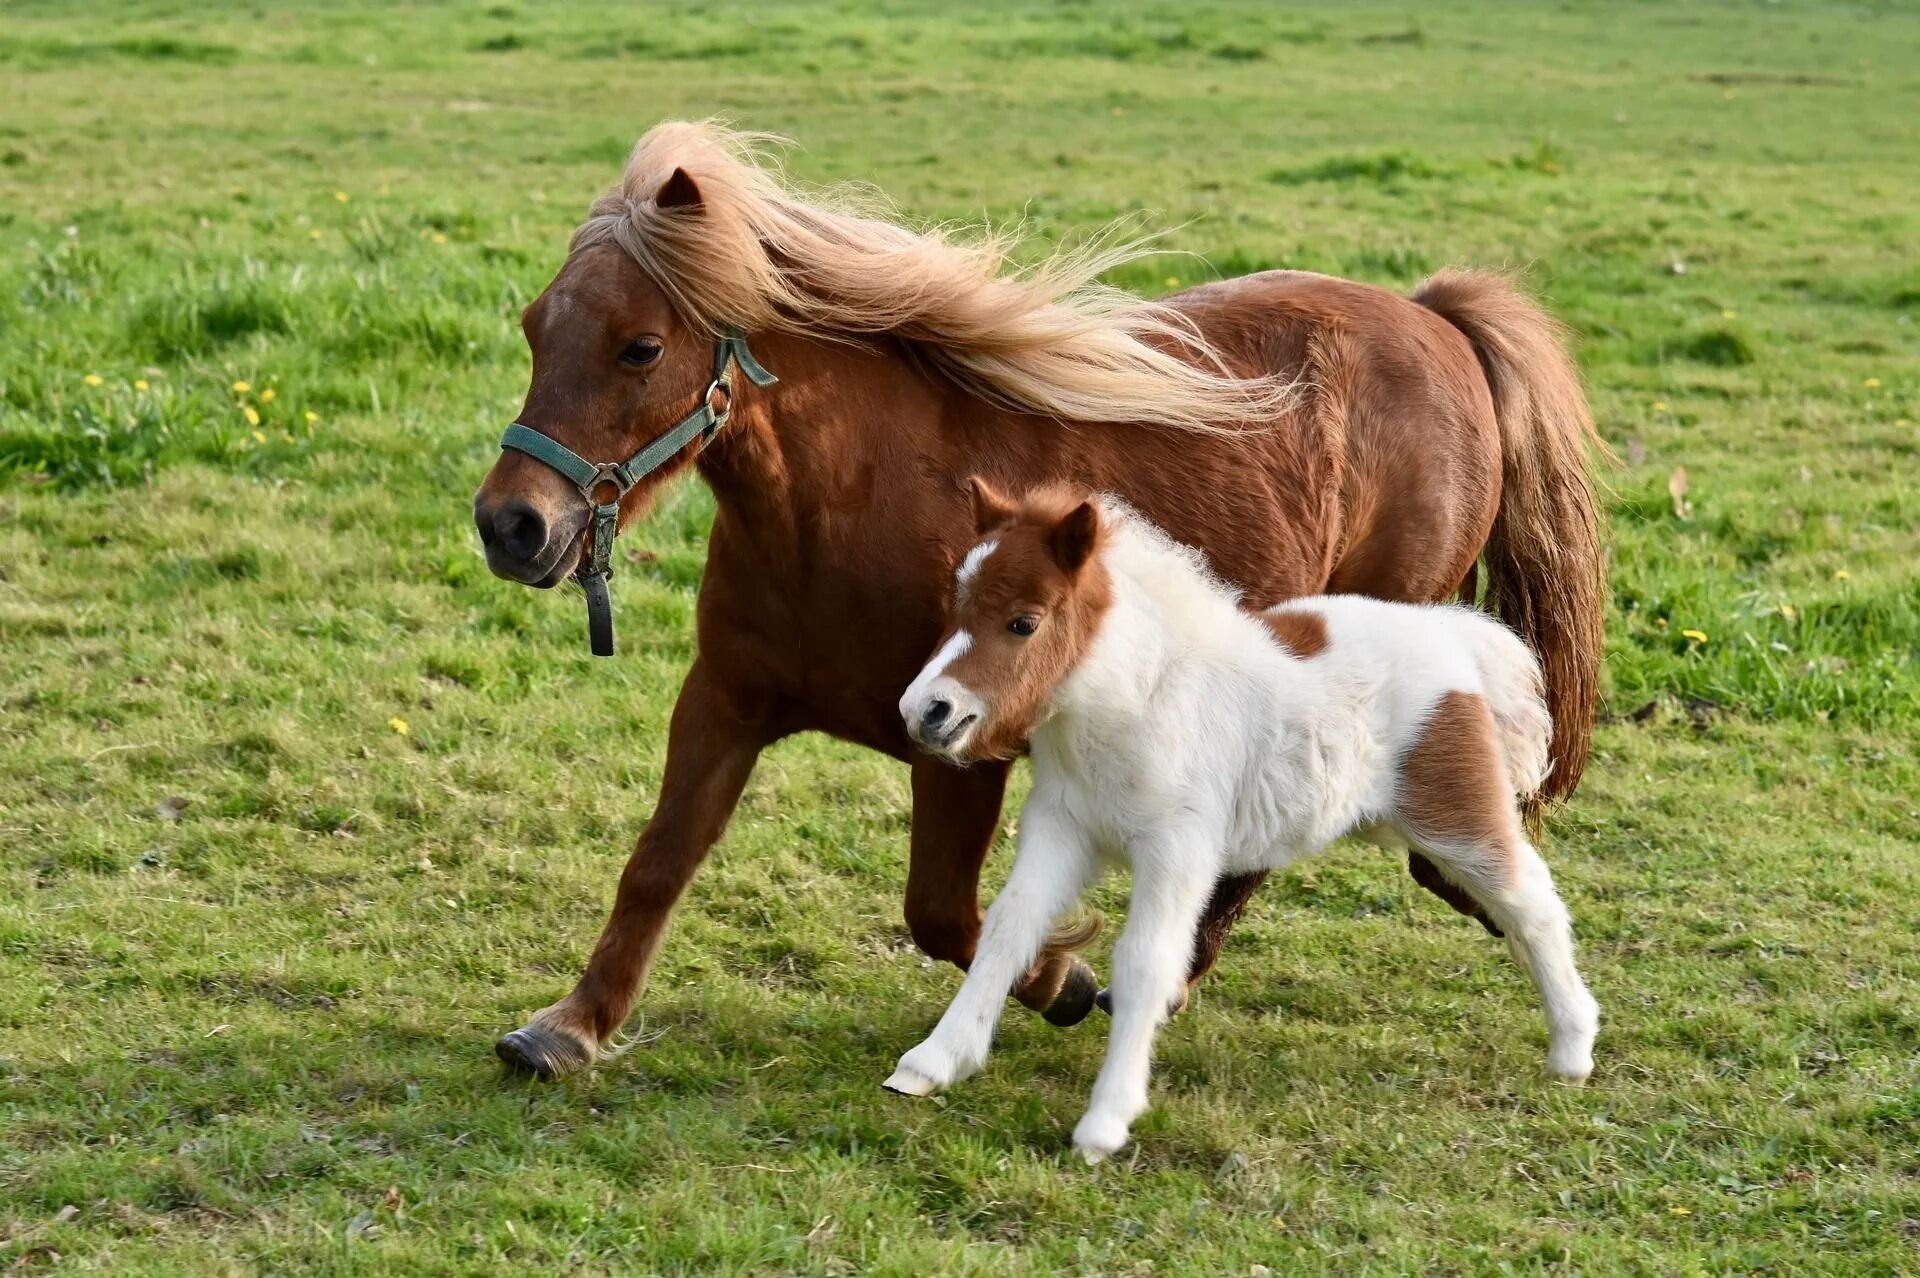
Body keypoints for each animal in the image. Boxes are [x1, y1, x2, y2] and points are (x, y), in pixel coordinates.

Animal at [468, 121, 1605, 1074]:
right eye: (532, 327)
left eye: (640, 346)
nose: (510, 525)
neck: (849, 504)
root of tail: (1433, 319)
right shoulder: (724, 701)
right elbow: (659, 863)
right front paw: (570, 1027)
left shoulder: (961, 744)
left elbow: (945, 914)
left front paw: (1062, 977)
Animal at [890, 477, 1597, 1151]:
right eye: (956, 606)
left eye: (1023, 623)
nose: (925, 711)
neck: (1139, 701)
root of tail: (1453, 635)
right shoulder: (1062, 829)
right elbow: (1009, 928)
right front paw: (932, 1062)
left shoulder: (1178, 850)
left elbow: (1146, 961)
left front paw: (1105, 1123)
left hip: (1454, 817)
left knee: (1530, 901)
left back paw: (1573, 1048)